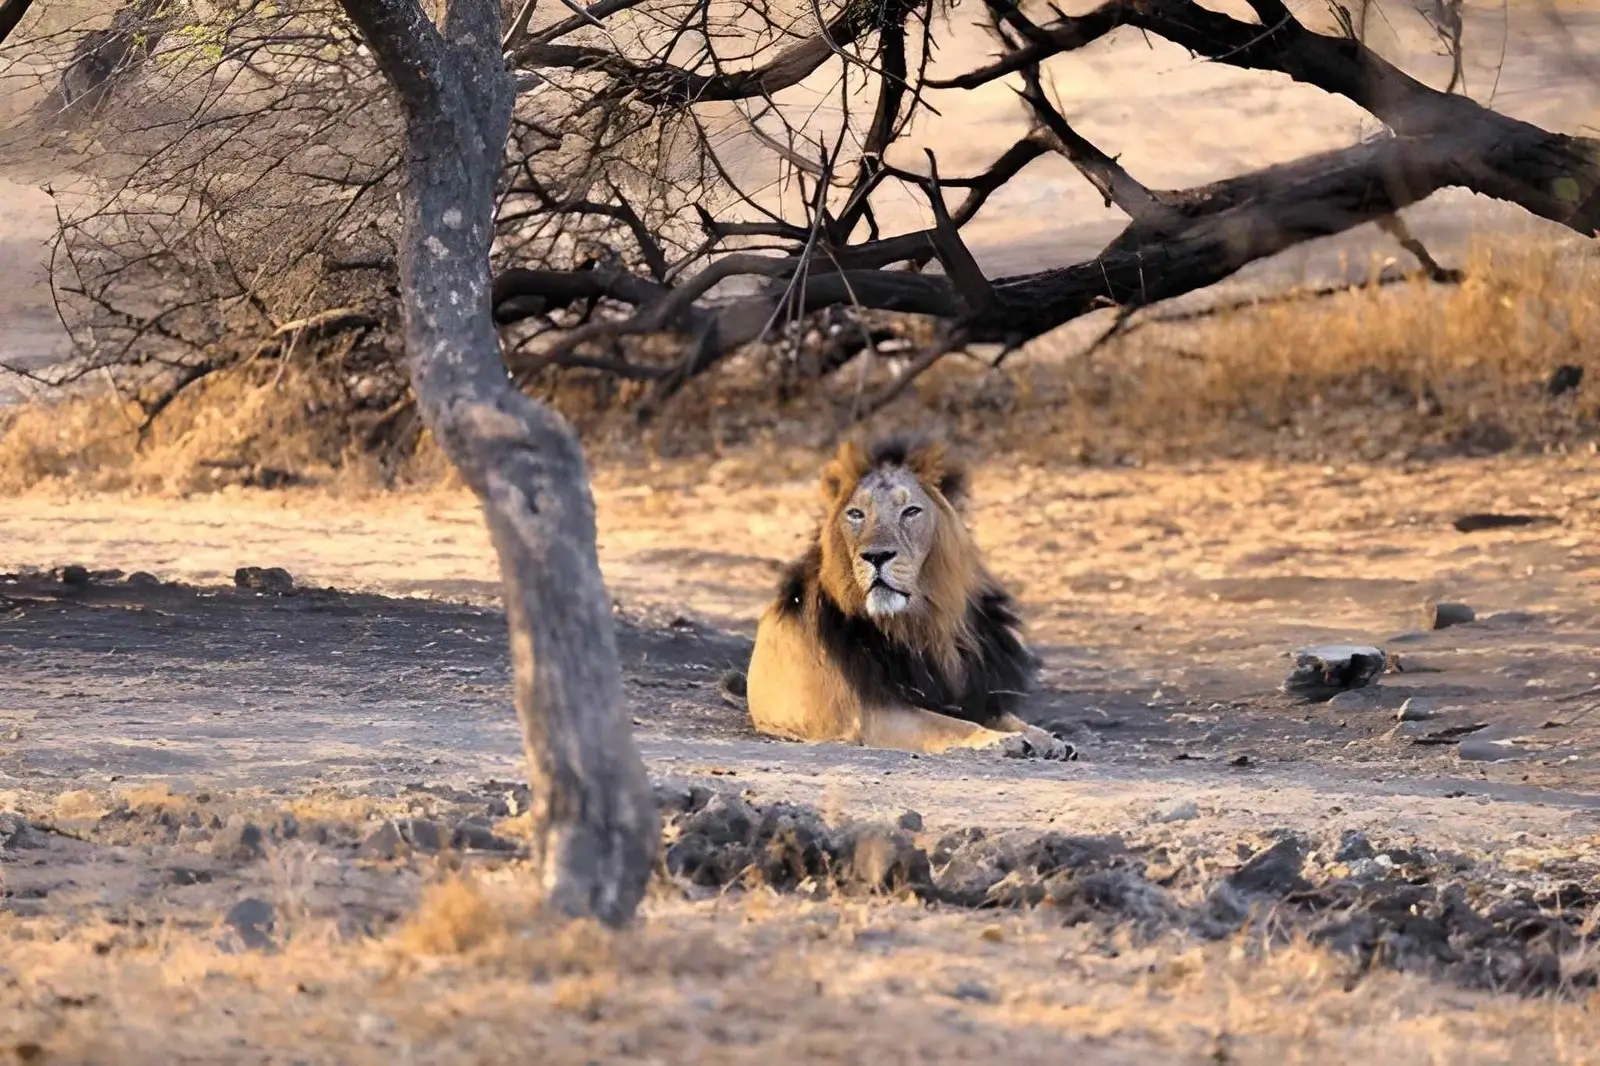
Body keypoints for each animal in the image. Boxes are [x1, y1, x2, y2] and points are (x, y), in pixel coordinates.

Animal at [728, 435, 1072, 759]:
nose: (876, 556)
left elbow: (1008, 717)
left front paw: (1049, 739)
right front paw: (1001, 741)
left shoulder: (970, 693)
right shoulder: (878, 713)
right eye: (856, 514)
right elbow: (949, 725)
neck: (922, 623)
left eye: (911, 511)